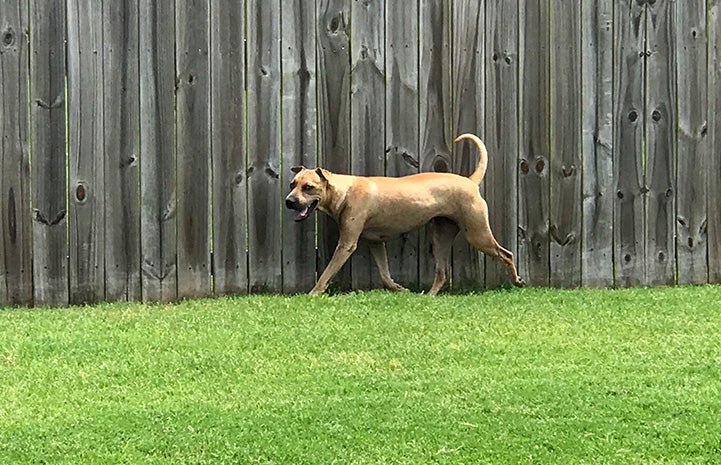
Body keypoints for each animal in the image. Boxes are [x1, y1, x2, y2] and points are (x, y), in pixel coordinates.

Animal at [286, 133, 524, 294]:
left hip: (477, 233)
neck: (344, 189)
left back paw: (517, 281)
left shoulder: (347, 244)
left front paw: (313, 293)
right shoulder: (375, 242)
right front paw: (399, 288)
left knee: (507, 254)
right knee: (442, 272)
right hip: (441, 234)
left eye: (308, 187)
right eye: (292, 184)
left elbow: (327, 272)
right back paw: (428, 295)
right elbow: (384, 273)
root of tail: (470, 181)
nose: (289, 202)